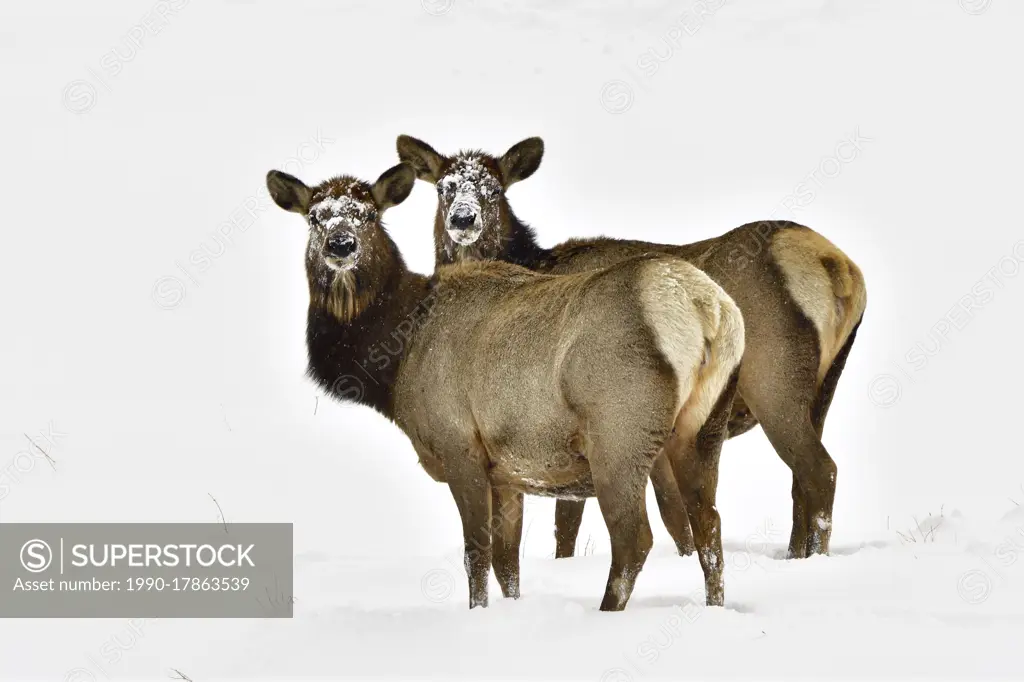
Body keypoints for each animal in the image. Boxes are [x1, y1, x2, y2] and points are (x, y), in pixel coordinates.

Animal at [264, 161, 745, 606]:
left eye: (367, 214)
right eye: (314, 216)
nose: (340, 245)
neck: (396, 361)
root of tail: (707, 309)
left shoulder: (460, 446)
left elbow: (475, 556)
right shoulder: (508, 473)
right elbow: (507, 562)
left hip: (620, 432)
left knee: (635, 539)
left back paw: (606, 610)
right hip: (702, 429)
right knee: (710, 526)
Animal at [395, 134, 868, 557]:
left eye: (493, 189)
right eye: (444, 187)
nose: (463, 220)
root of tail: (839, 268)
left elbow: (582, 525)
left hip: (774, 381)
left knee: (819, 469)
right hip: (825, 384)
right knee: (800, 483)